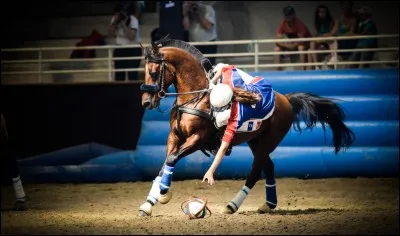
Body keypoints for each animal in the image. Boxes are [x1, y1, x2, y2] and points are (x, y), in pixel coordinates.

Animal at [137, 36, 354, 216]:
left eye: (154, 73)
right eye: (144, 72)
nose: (146, 102)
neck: (196, 98)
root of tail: (286, 99)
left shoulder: (197, 140)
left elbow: (172, 159)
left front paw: (164, 194)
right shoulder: (174, 136)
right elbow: (164, 165)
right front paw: (148, 204)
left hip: (267, 142)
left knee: (256, 170)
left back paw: (232, 205)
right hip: (255, 142)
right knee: (269, 167)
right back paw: (269, 204)